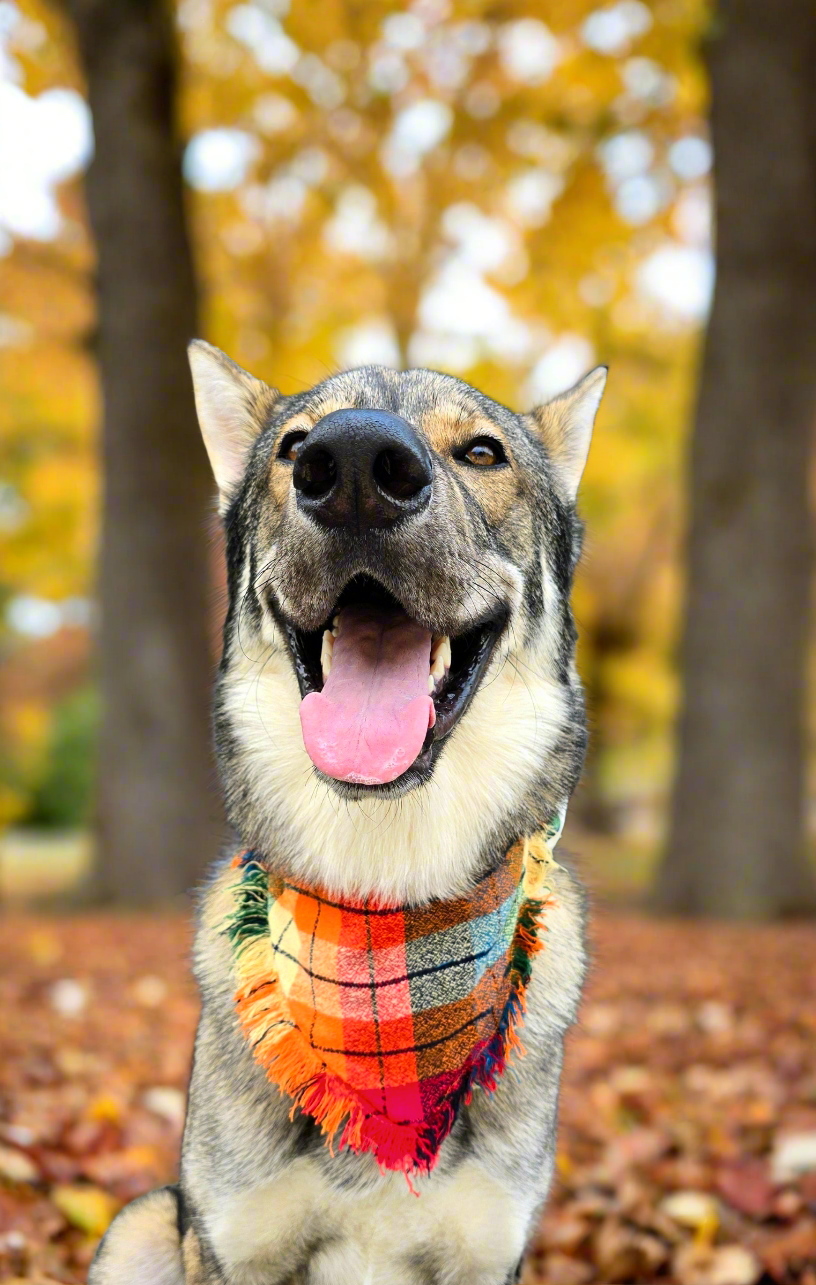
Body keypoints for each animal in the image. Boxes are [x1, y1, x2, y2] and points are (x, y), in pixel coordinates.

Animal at [92, 344, 606, 1285]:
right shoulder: (231, 1242)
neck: (383, 898)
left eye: (482, 453)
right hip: (141, 1223)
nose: (358, 463)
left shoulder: (487, 1254)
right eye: (296, 446)